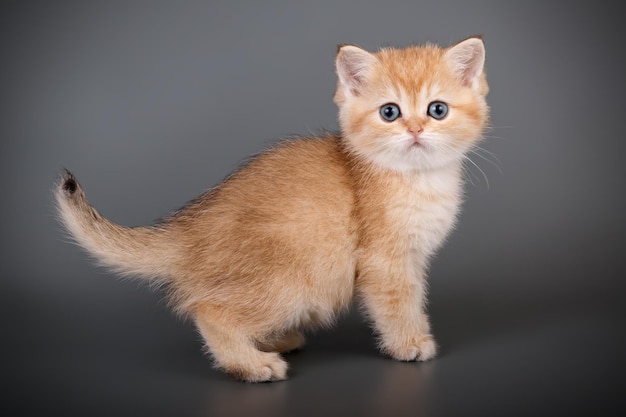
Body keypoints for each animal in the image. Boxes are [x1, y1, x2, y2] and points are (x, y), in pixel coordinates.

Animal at [54, 37, 488, 382]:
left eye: (437, 110)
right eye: (389, 112)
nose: (415, 130)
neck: (418, 178)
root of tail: (189, 228)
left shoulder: (413, 260)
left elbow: (415, 301)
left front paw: (416, 335)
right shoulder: (386, 262)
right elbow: (398, 305)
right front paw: (409, 344)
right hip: (292, 281)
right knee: (210, 310)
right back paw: (251, 364)